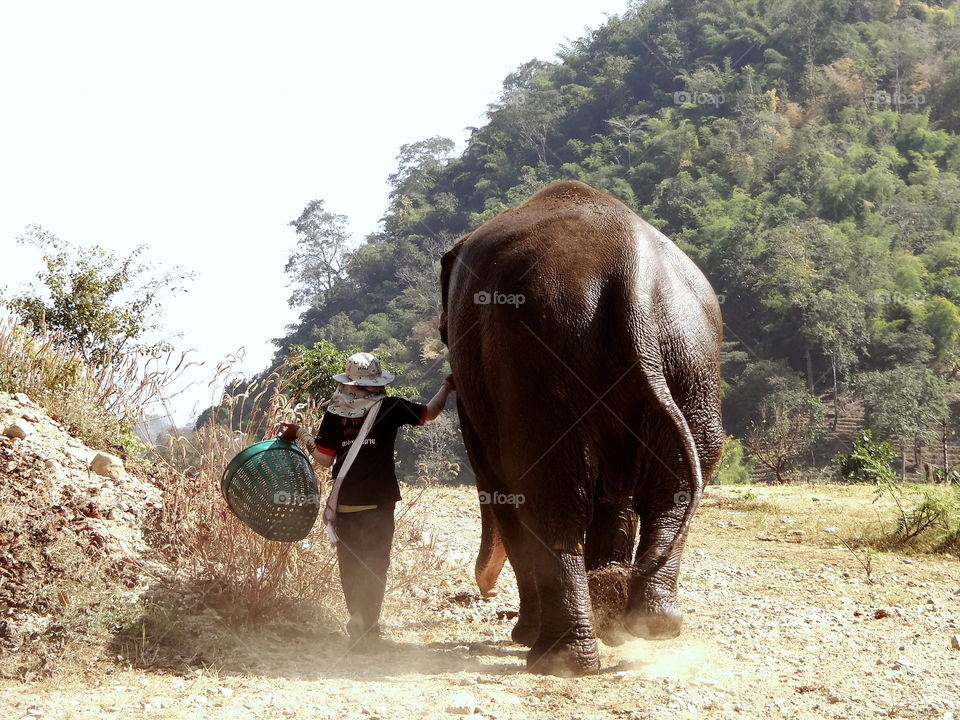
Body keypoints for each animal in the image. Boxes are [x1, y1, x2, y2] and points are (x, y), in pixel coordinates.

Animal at [438, 179, 724, 676]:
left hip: (541, 362)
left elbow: (501, 484)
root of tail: (633, 279)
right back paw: (646, 623)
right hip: (689, 362)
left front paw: (523, 634)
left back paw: (557, 657)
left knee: (549, 496)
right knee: (674, 487)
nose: (483, 588)